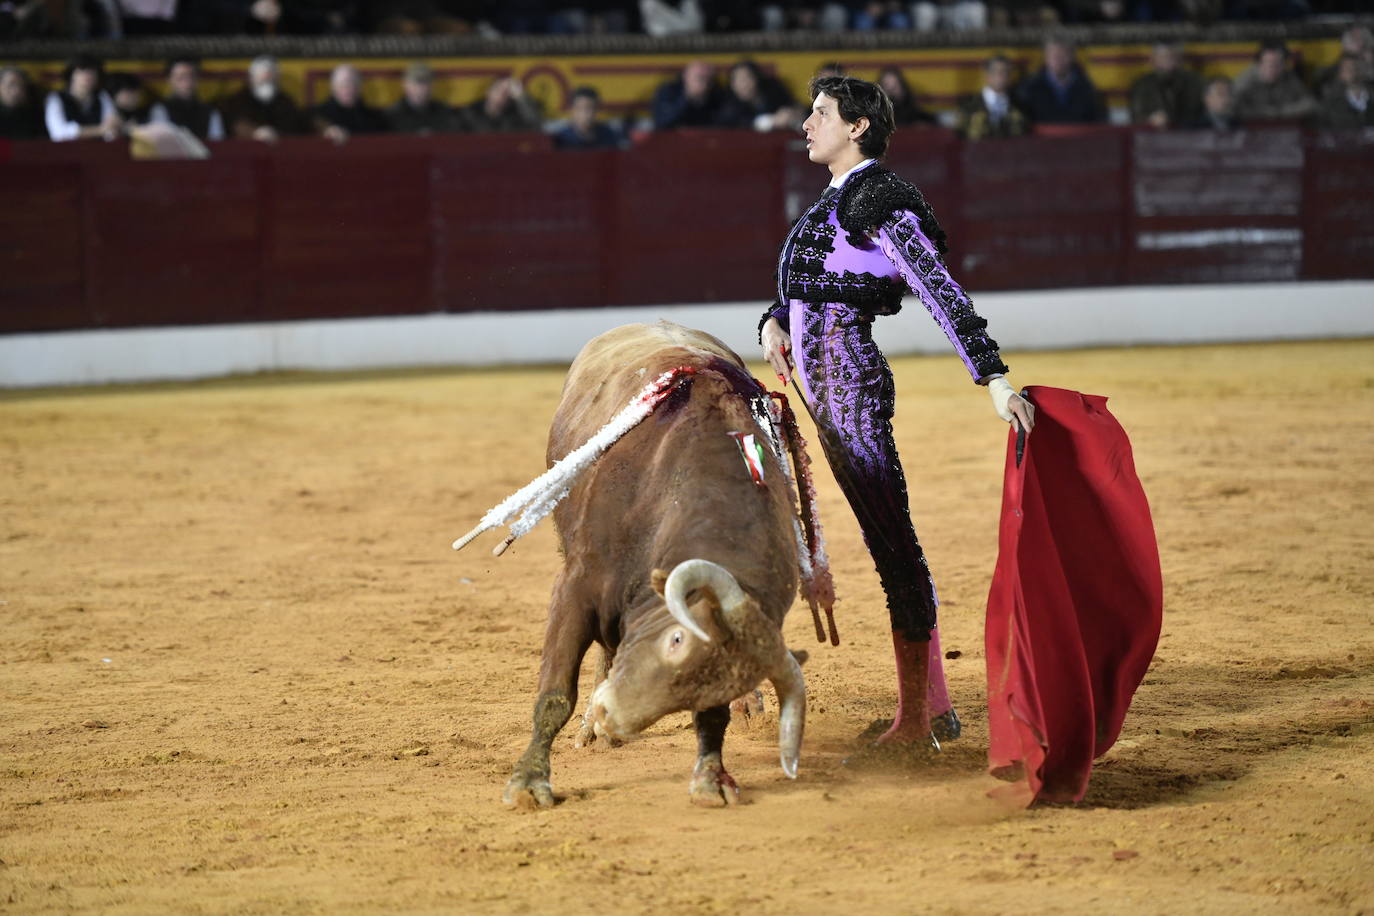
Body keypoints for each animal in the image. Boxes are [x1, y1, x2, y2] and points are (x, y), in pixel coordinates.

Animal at [500, 324, 807, 807]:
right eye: (675, 639)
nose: (613, 715)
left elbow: (713, 715)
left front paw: (711, 776)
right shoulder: (576, 587)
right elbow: (555, 692)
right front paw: (530, 782)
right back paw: (591, 729)